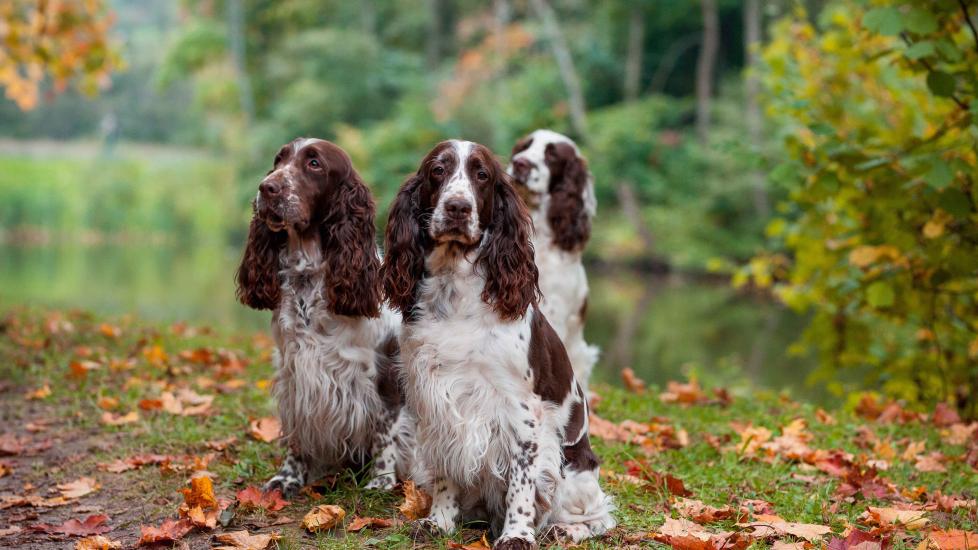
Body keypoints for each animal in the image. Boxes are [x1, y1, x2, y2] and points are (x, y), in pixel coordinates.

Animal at [236, 139, 412, 500]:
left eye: (314, 163)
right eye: (279, 159)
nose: (266, 187)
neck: (309, 276)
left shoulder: (384, 372)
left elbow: (385, 431)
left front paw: (381, 480)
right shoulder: (294, 374)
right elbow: (297, 434)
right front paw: (288, 478)